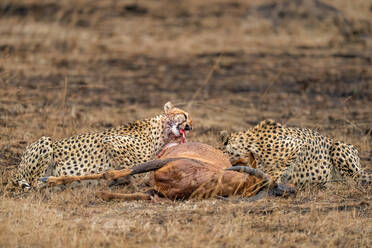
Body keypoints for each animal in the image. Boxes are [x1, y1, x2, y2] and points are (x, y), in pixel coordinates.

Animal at [8, 101, 193, 191]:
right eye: (185, 116)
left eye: (191, 124)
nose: (189, 127)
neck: (161, 133)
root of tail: (17, 168)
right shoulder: (111, 142)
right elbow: (137, 166)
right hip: (45, 141)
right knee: (32, 184)